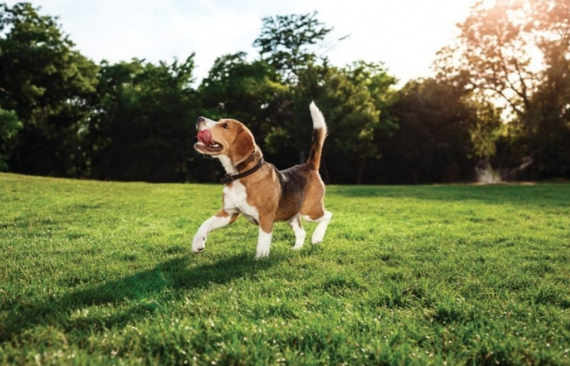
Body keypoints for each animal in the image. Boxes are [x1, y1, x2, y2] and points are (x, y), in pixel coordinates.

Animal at [192, 101, 330, 258]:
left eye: (225, 125)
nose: (199, 118)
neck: (240, 177)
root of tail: (308, 166)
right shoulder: (229, 213)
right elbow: (205, 223)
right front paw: (197, 243)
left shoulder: (265, 217)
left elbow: (262, 242)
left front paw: (260, 259)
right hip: (291, 215)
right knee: (301, 232)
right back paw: (296, 249)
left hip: (310, 211)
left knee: (328, 215)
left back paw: (317, 237)